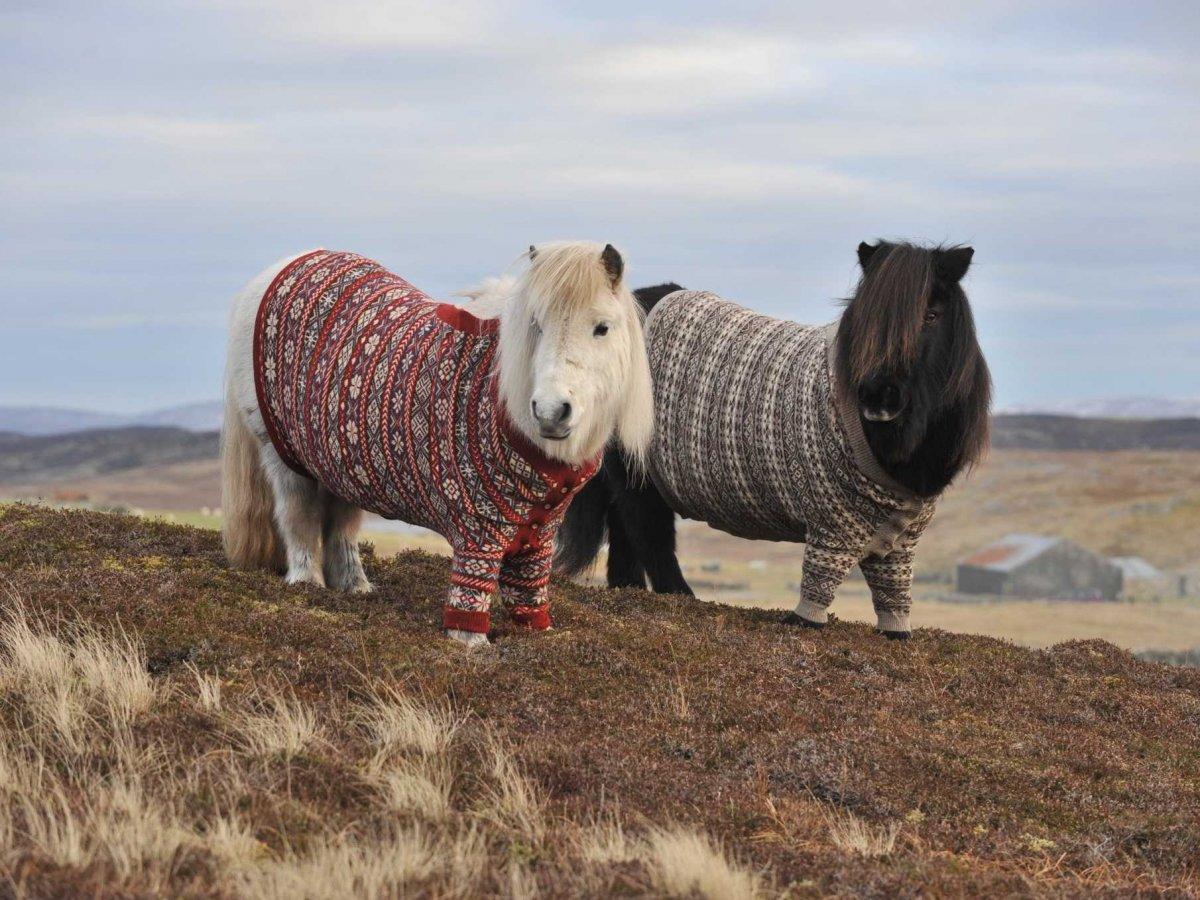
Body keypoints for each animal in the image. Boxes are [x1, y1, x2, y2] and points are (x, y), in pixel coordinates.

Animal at [225, 243, 657, 643]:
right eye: (535, 324)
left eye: (602, 327)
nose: (551, 412)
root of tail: (282, 267)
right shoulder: (478, 530)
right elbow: (471, 594)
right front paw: (472, 644)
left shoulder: (539, 534)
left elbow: (529, 593)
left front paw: (539, 636)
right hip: (283, 456)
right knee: (297, 515)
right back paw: (306, 584)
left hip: (340, 462)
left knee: (341, 526)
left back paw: (355, 588)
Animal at [556, 241, 988, 628]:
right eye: (865, 317)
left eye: (932, 314)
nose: (878, 397)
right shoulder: (831, 524)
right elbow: (820, 583)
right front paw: (805, 622)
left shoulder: (901, 540)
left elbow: (893, 590)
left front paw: (896, 631)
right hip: (638, 471)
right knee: (647, 531)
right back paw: (680, 595)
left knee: (625, 529)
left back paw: (628, 589)